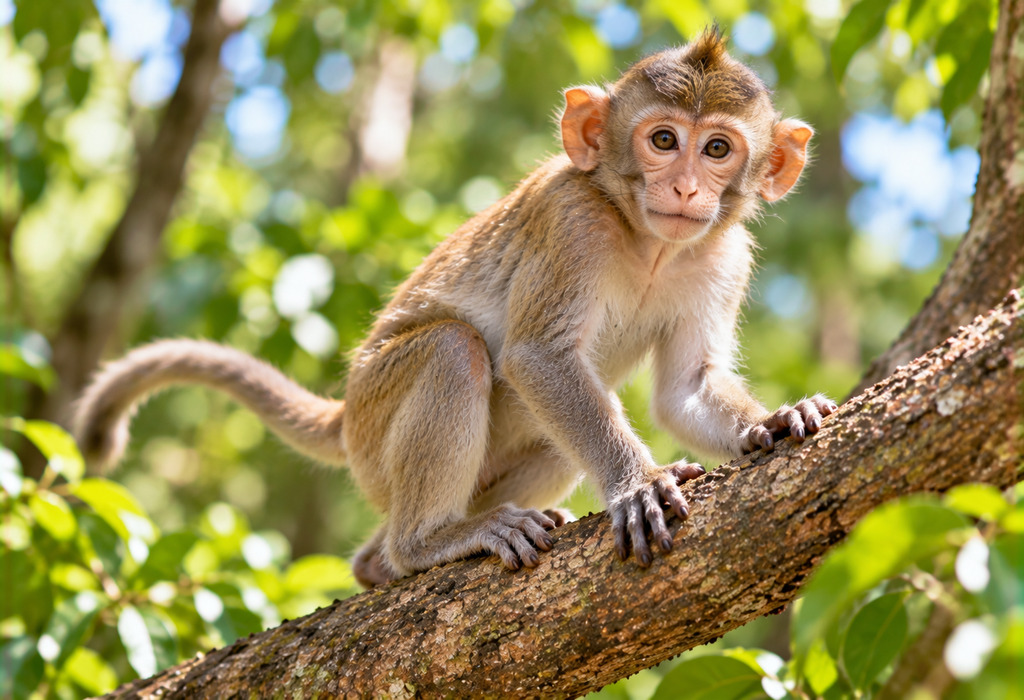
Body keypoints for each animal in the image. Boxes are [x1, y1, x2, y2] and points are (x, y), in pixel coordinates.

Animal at [75, 29, 837, 589]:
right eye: (663, 140)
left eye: (717, 148)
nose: (683, 188)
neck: (648, 242)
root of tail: (346, 415)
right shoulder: (572, 222)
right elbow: (538, 357)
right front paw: (638, 484)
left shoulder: (724, 257)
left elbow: (683, 391)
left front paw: (772, 422)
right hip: (376, 421)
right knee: (451, 350)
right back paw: (426, 544)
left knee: (544, 433)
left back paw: (377, 562)